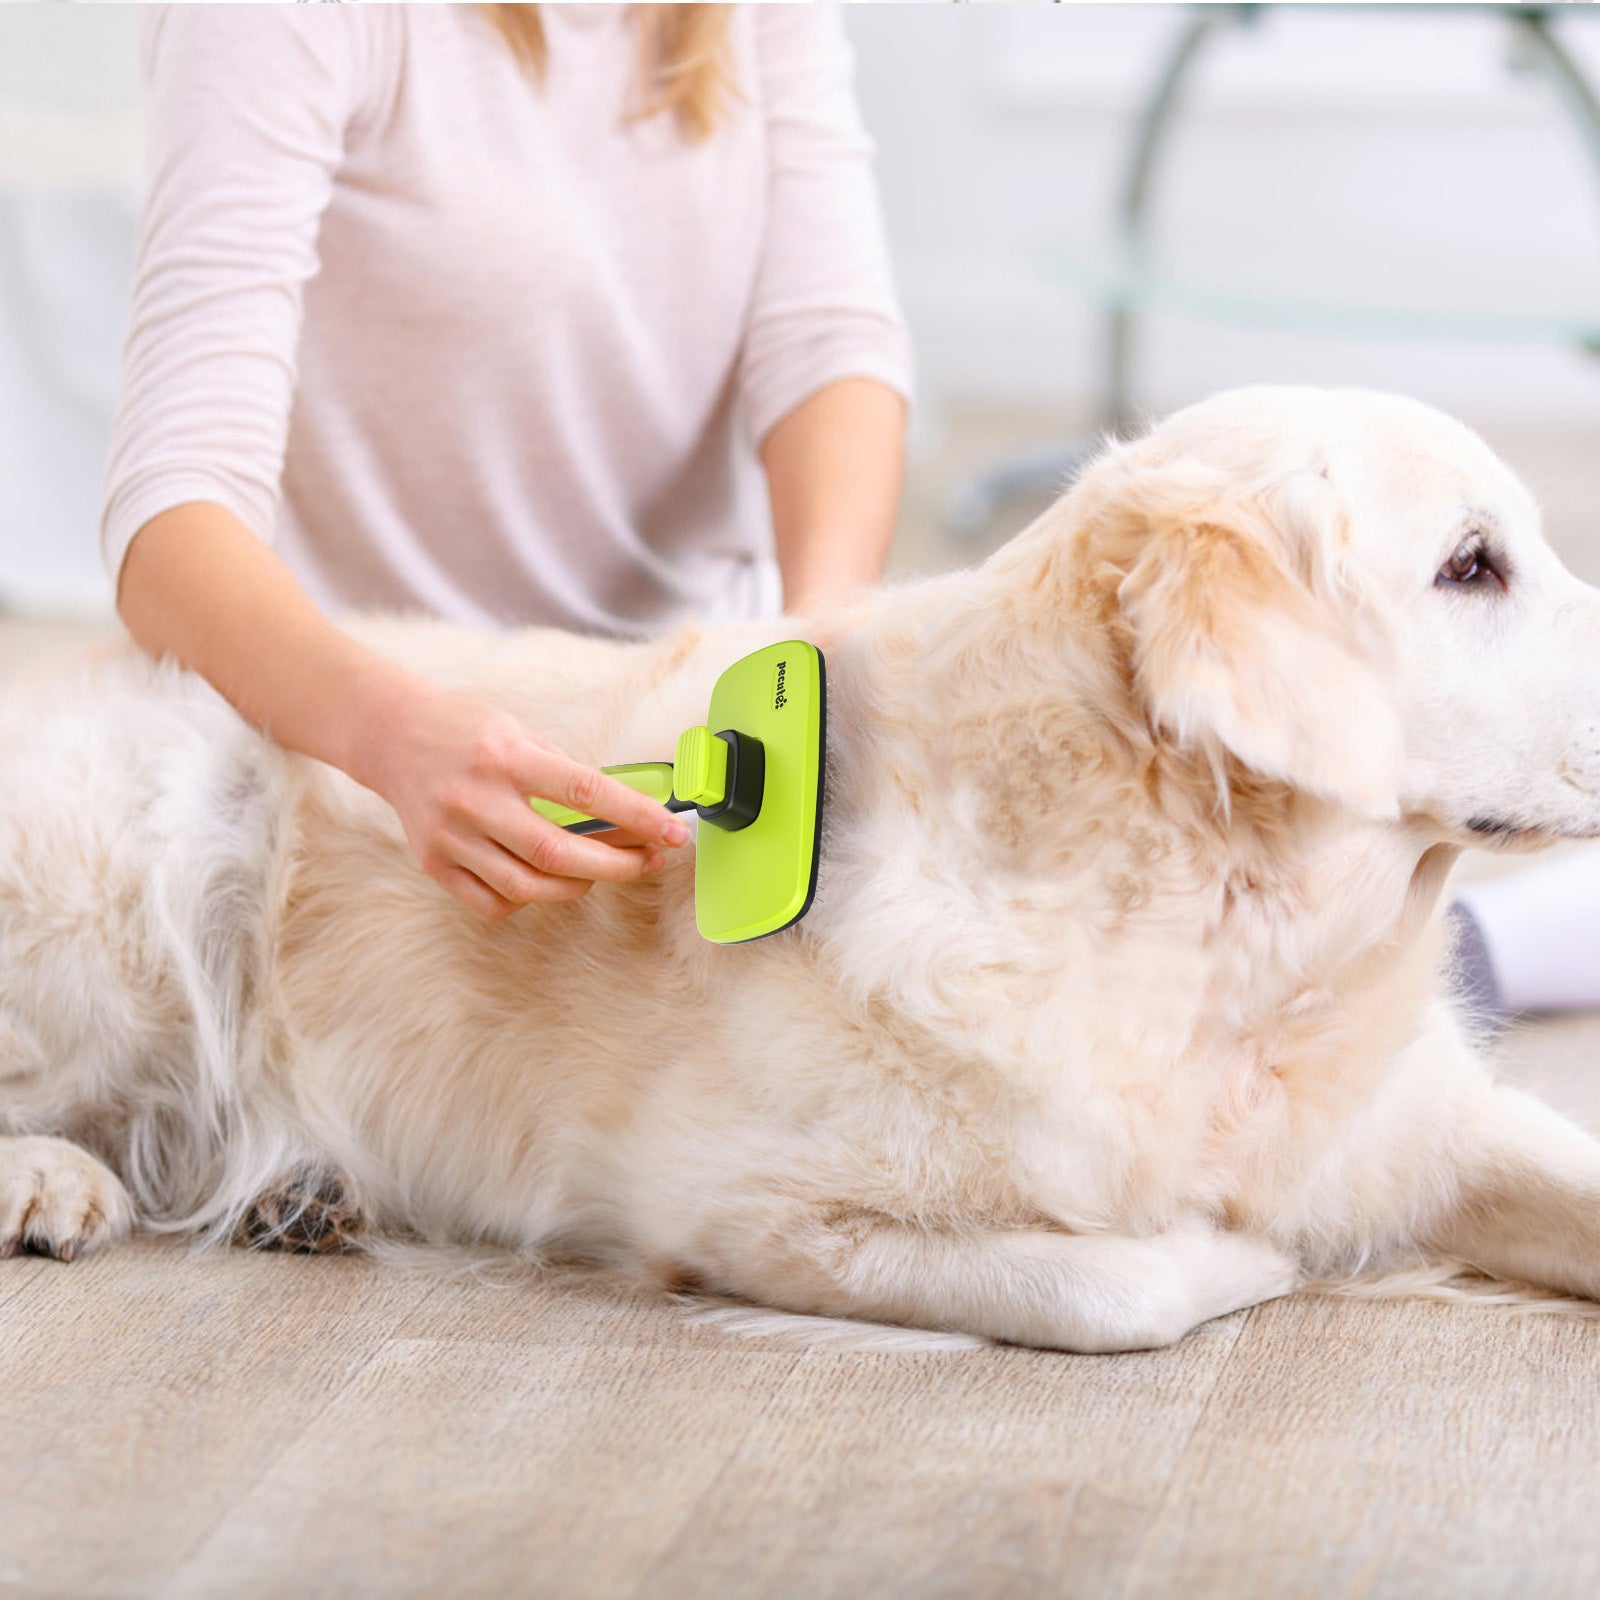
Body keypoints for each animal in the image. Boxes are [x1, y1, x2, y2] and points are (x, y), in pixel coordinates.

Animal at [3, 387, 1600, 1350]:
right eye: (1471, 565)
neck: (1215, 949)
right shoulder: (738, 1208)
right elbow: (1115, 1276)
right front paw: (1256, 1255)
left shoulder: (1426, 1120)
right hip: (148, 850)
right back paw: (58, 1183)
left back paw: (296, 1195)